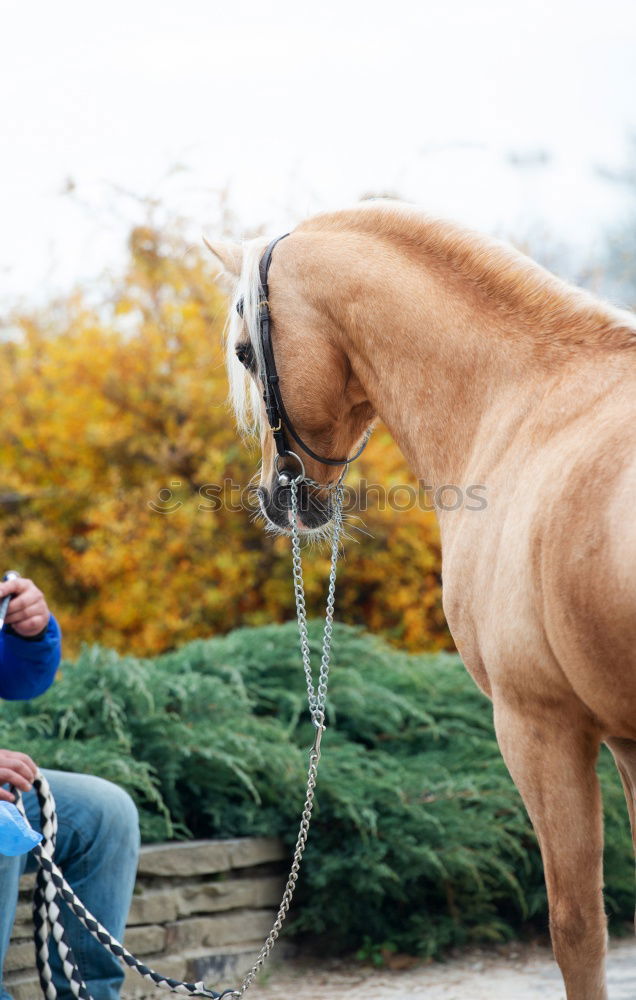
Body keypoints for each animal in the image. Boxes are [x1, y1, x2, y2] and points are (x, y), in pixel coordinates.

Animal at [209, 203, 636, 1000]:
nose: (276, 498)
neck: (523, 407)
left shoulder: (539, 725)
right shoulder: (623, 735)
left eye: (248, 353)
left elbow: (576, 931)